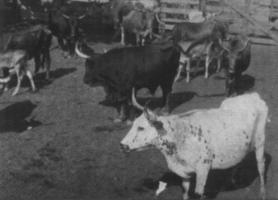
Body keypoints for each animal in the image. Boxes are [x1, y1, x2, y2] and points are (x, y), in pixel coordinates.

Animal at [120, 92, 268, 200]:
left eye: (141, 128)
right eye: (133, 124)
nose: (122, 145)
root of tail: (252, 95)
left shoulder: (203, 168)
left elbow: (198, 194)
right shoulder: (184, 172)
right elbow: (185, 192)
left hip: (260, 142)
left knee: (261, 166)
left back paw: (262, 192)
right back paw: (231, 181)